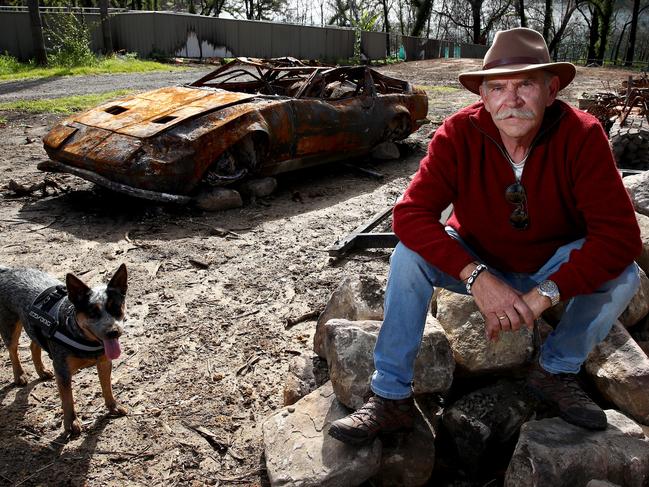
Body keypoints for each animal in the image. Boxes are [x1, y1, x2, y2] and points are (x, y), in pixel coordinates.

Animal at [0, 264, 128, 436]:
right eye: (92, 313)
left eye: (116, 308)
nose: (113, 332)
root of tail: (7, 270)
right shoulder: (62, 371)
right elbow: (68, 400)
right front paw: (71, 423)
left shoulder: (104, 363)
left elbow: (107, 387)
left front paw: (113, 406)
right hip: (10, 324)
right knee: (13, 350)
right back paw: (19, 375)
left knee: (34, 344)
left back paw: (41, 371)